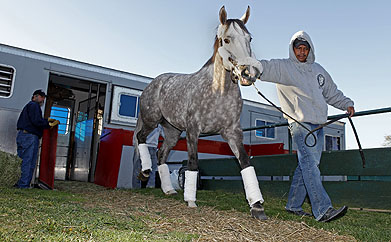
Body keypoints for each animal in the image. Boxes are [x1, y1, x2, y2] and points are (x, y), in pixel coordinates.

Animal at [135, 6, 266, 220]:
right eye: (227, 39)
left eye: (250, 38)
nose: (249, 73)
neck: (217, 91)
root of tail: (154, 83)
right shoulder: (193, 131)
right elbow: (193, 163)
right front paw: (190, 200)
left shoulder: (232, 132)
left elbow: (245, 162)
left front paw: (257, 206)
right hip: (151, 121)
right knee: (140, 138)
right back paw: (145, 172)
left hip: (172, 131)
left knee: (162, 153)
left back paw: (168, 190)